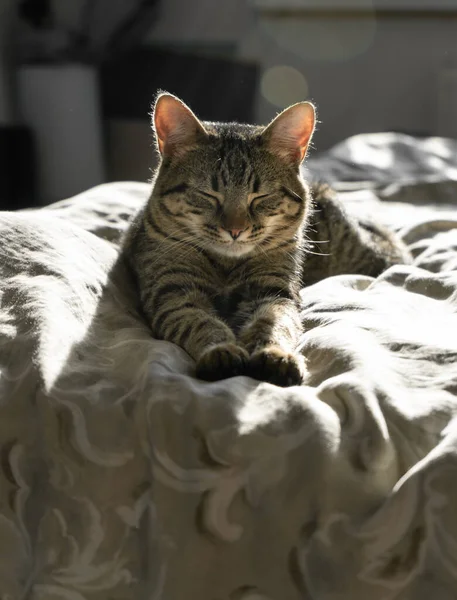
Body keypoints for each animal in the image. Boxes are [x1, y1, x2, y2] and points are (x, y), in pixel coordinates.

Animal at [122, 91, 410, 386]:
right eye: (208, 195)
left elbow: (273, 324)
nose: (235, 230)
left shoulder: (274, 291)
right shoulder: (173, 290)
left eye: (260, 197)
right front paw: (221, 351)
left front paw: (275, 355)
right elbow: (201, 322)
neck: (226, 266)